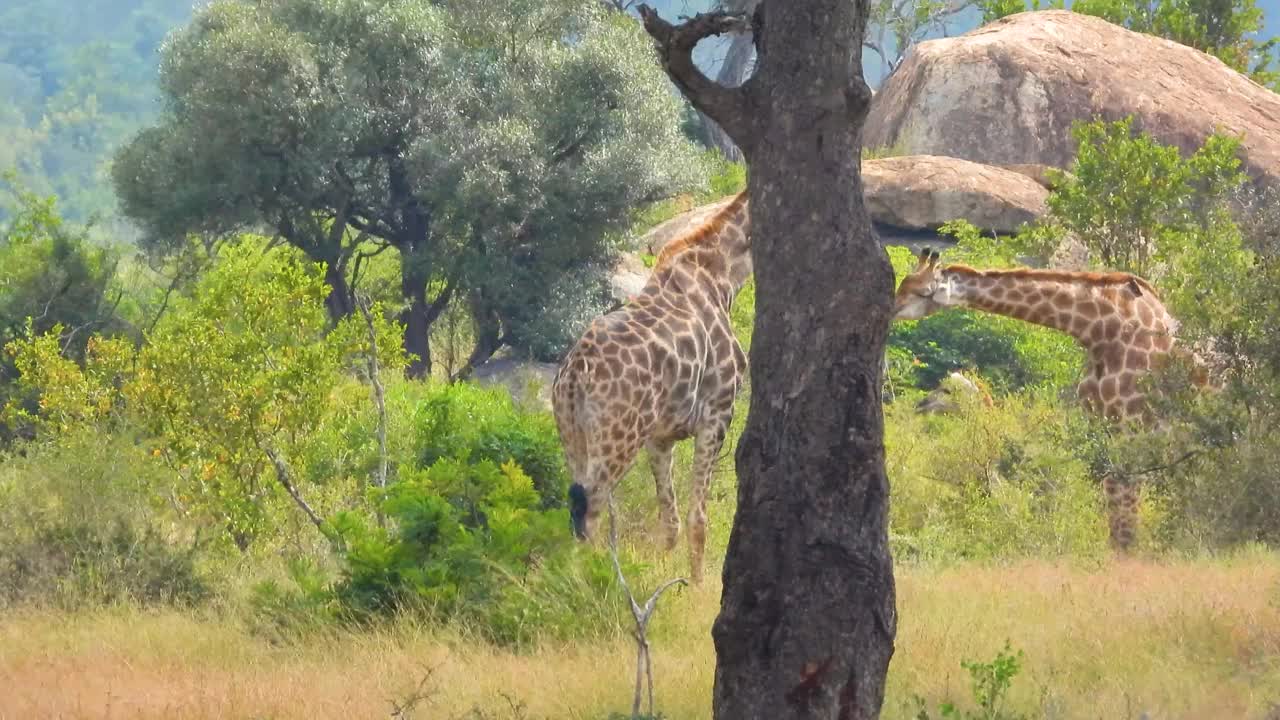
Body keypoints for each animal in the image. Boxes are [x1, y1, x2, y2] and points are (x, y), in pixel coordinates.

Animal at [550, 190, 747, 584]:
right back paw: (594, 582)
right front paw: (697, 587)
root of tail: (576, 372)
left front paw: (664, 578)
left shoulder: (661, 436)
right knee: (590, 509)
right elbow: (698, 519)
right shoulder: (718, 414)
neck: (723, 273)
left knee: (575, 505)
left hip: (573, 436)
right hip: (618, 440)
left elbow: (669, 521)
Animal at [890, 245, 1187, 548]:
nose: (890, 310)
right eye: (902, 283)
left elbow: (1125, 530)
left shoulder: (1130, 429)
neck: (1099, 329)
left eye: (922, 291)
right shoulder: (1099, 427)